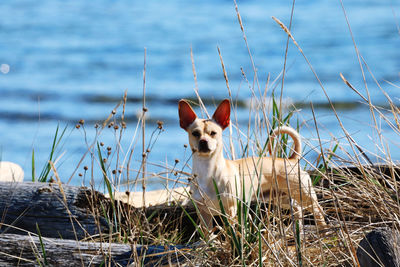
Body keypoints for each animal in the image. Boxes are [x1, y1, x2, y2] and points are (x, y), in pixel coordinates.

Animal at [178, 99, 324, 231]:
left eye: (213, 133)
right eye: (195, 133)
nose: (203, 141)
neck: (207, 170)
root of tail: (291, 160)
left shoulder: (230, 211)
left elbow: (231, 231)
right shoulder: (204, 213)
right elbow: (207, 234)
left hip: (303, 194)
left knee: (318, 209)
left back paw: (322, 227)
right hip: (281, 198)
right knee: (297, 208)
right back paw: (298, 230)